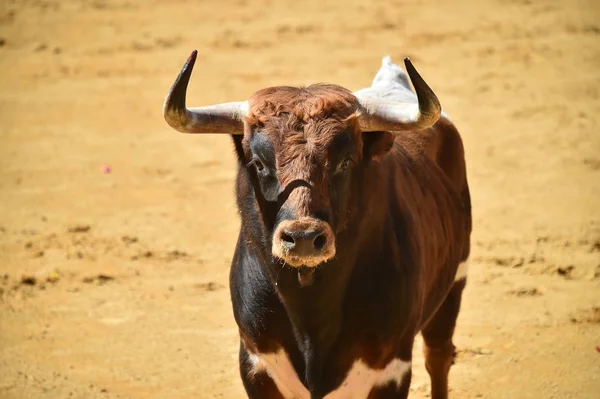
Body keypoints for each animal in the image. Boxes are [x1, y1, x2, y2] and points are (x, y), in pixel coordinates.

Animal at [162, 50, 472, 399]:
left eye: (345, 161)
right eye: (260, 163)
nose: (303, 237)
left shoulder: (391, 368)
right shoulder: (256, 363)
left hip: (455, 284)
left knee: (439, 355)